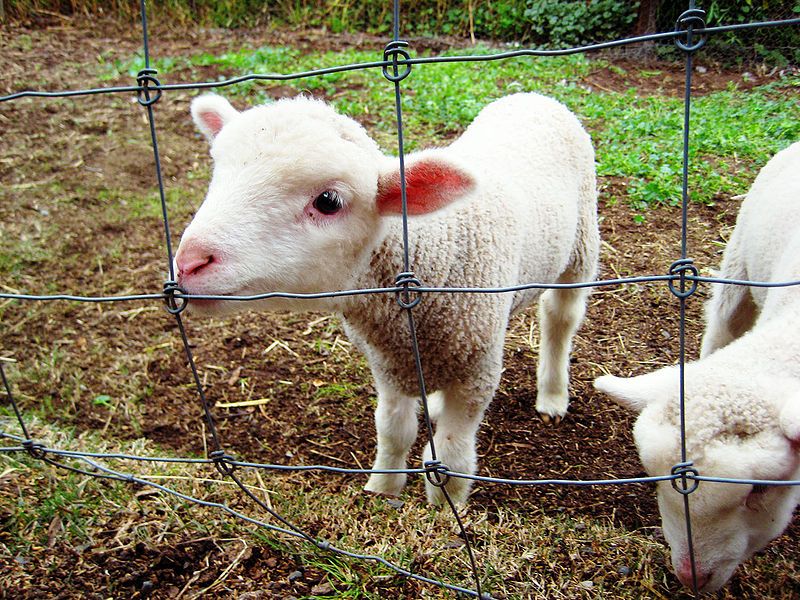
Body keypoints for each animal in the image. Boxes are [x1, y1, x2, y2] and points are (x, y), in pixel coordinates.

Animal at [177, 91, 600, 504]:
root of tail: (535, 97)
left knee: (560, 318)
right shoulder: (390, 366)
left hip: (581, 246)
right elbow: (394, 431)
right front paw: (382, 490)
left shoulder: (476, 373)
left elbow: (452, 456)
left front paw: (444, 509)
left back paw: (552, 396)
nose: (189, 263)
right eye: (217, 173)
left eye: (328, 201)